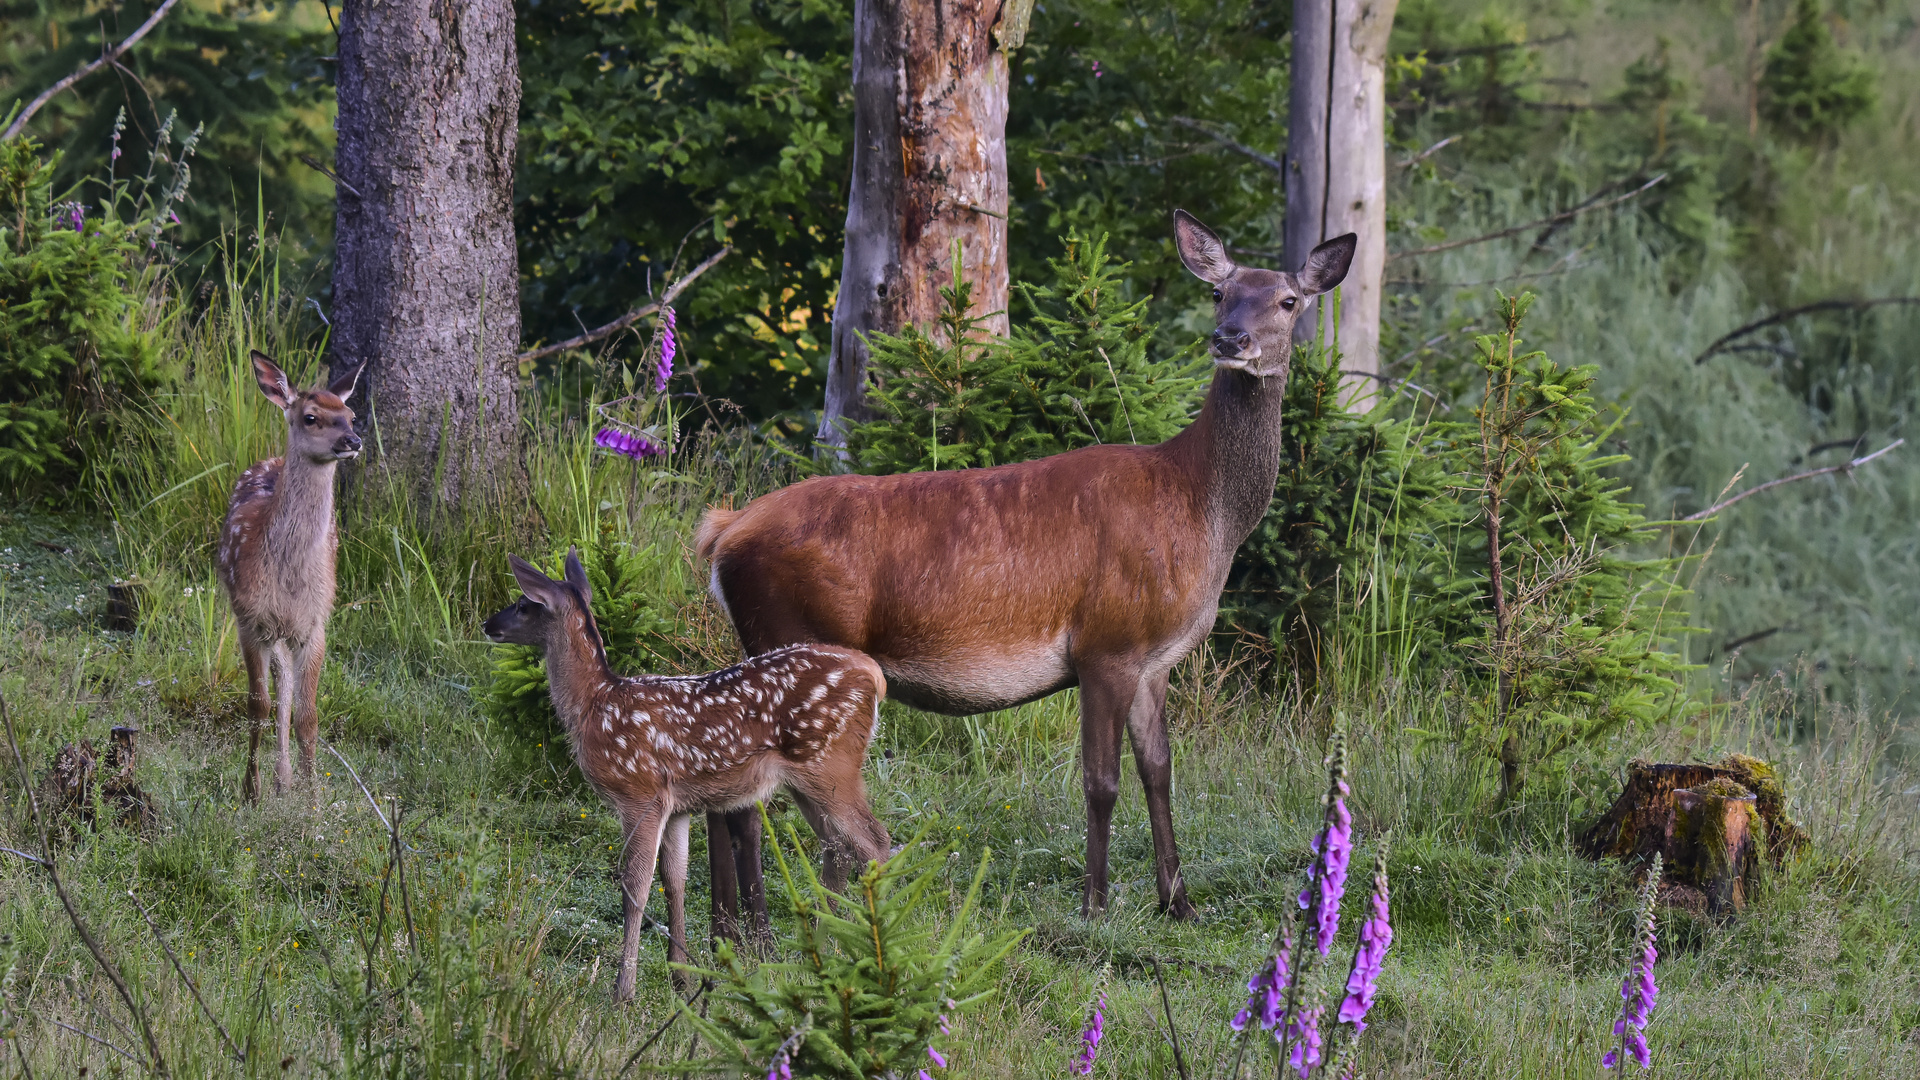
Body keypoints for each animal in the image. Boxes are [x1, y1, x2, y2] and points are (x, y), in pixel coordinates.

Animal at [220, 351, 362, 799]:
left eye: (351, 415)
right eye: (311, 417)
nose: (354, 441)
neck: (289, 578)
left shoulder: (315, 624)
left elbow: (308, 716)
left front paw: (312, 797)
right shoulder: (249, 619)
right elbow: (257, 706)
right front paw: (251, 791)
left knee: (286, 690)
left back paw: (285, 780)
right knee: (277, 690)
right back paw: (277, 780)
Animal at [483, 549, 894, 999]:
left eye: (524, 604)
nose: (488, 625)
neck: (593, 705)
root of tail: (874, 675)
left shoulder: (639, 792)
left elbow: (635, 884)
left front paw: (623, 989)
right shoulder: (678, 805)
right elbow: (674, 879)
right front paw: (681, 977)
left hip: (832, 763)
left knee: (875, 842)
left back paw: (879, 950)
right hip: (806, 779)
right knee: (837, 847)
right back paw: (822, 949)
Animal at [702, 210, 1351, 914]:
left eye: (1287, 301)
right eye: (1218, 292)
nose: (1230, 337)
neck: (1200, 507)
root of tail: (725, 533)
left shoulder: (1154, 660)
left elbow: (1159, 771)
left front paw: (1177, 903)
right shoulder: (1106, 642)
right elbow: (1101, 780)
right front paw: (1095, 906)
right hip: (788, 636)